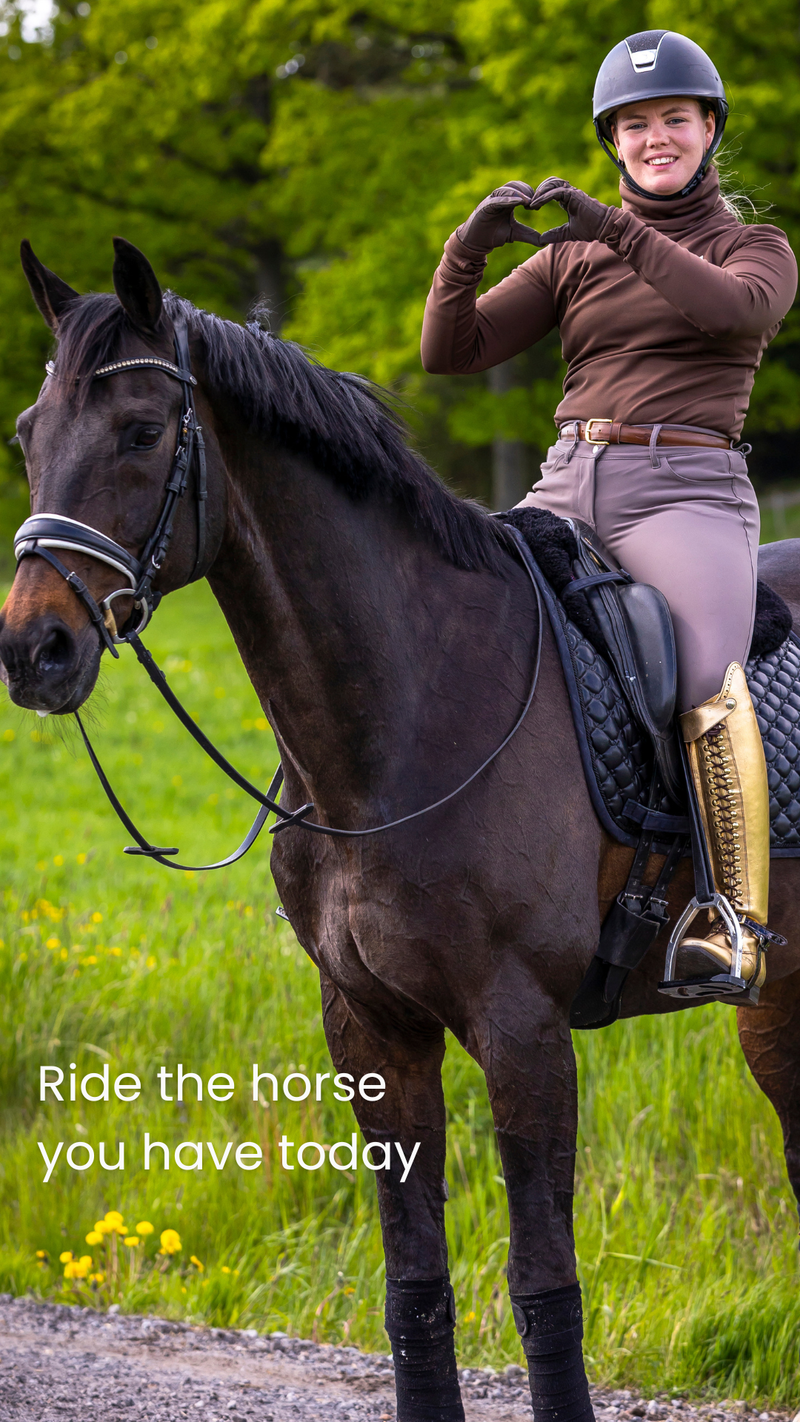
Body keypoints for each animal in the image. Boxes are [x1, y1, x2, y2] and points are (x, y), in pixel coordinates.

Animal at [2, 238, 799, 1422]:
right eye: (27, 435)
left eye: (142, 432)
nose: (33, 651)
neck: (403, 721)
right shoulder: (370, 1028)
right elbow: (413, 1289)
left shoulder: (523, 1031)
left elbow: (543, 1287)